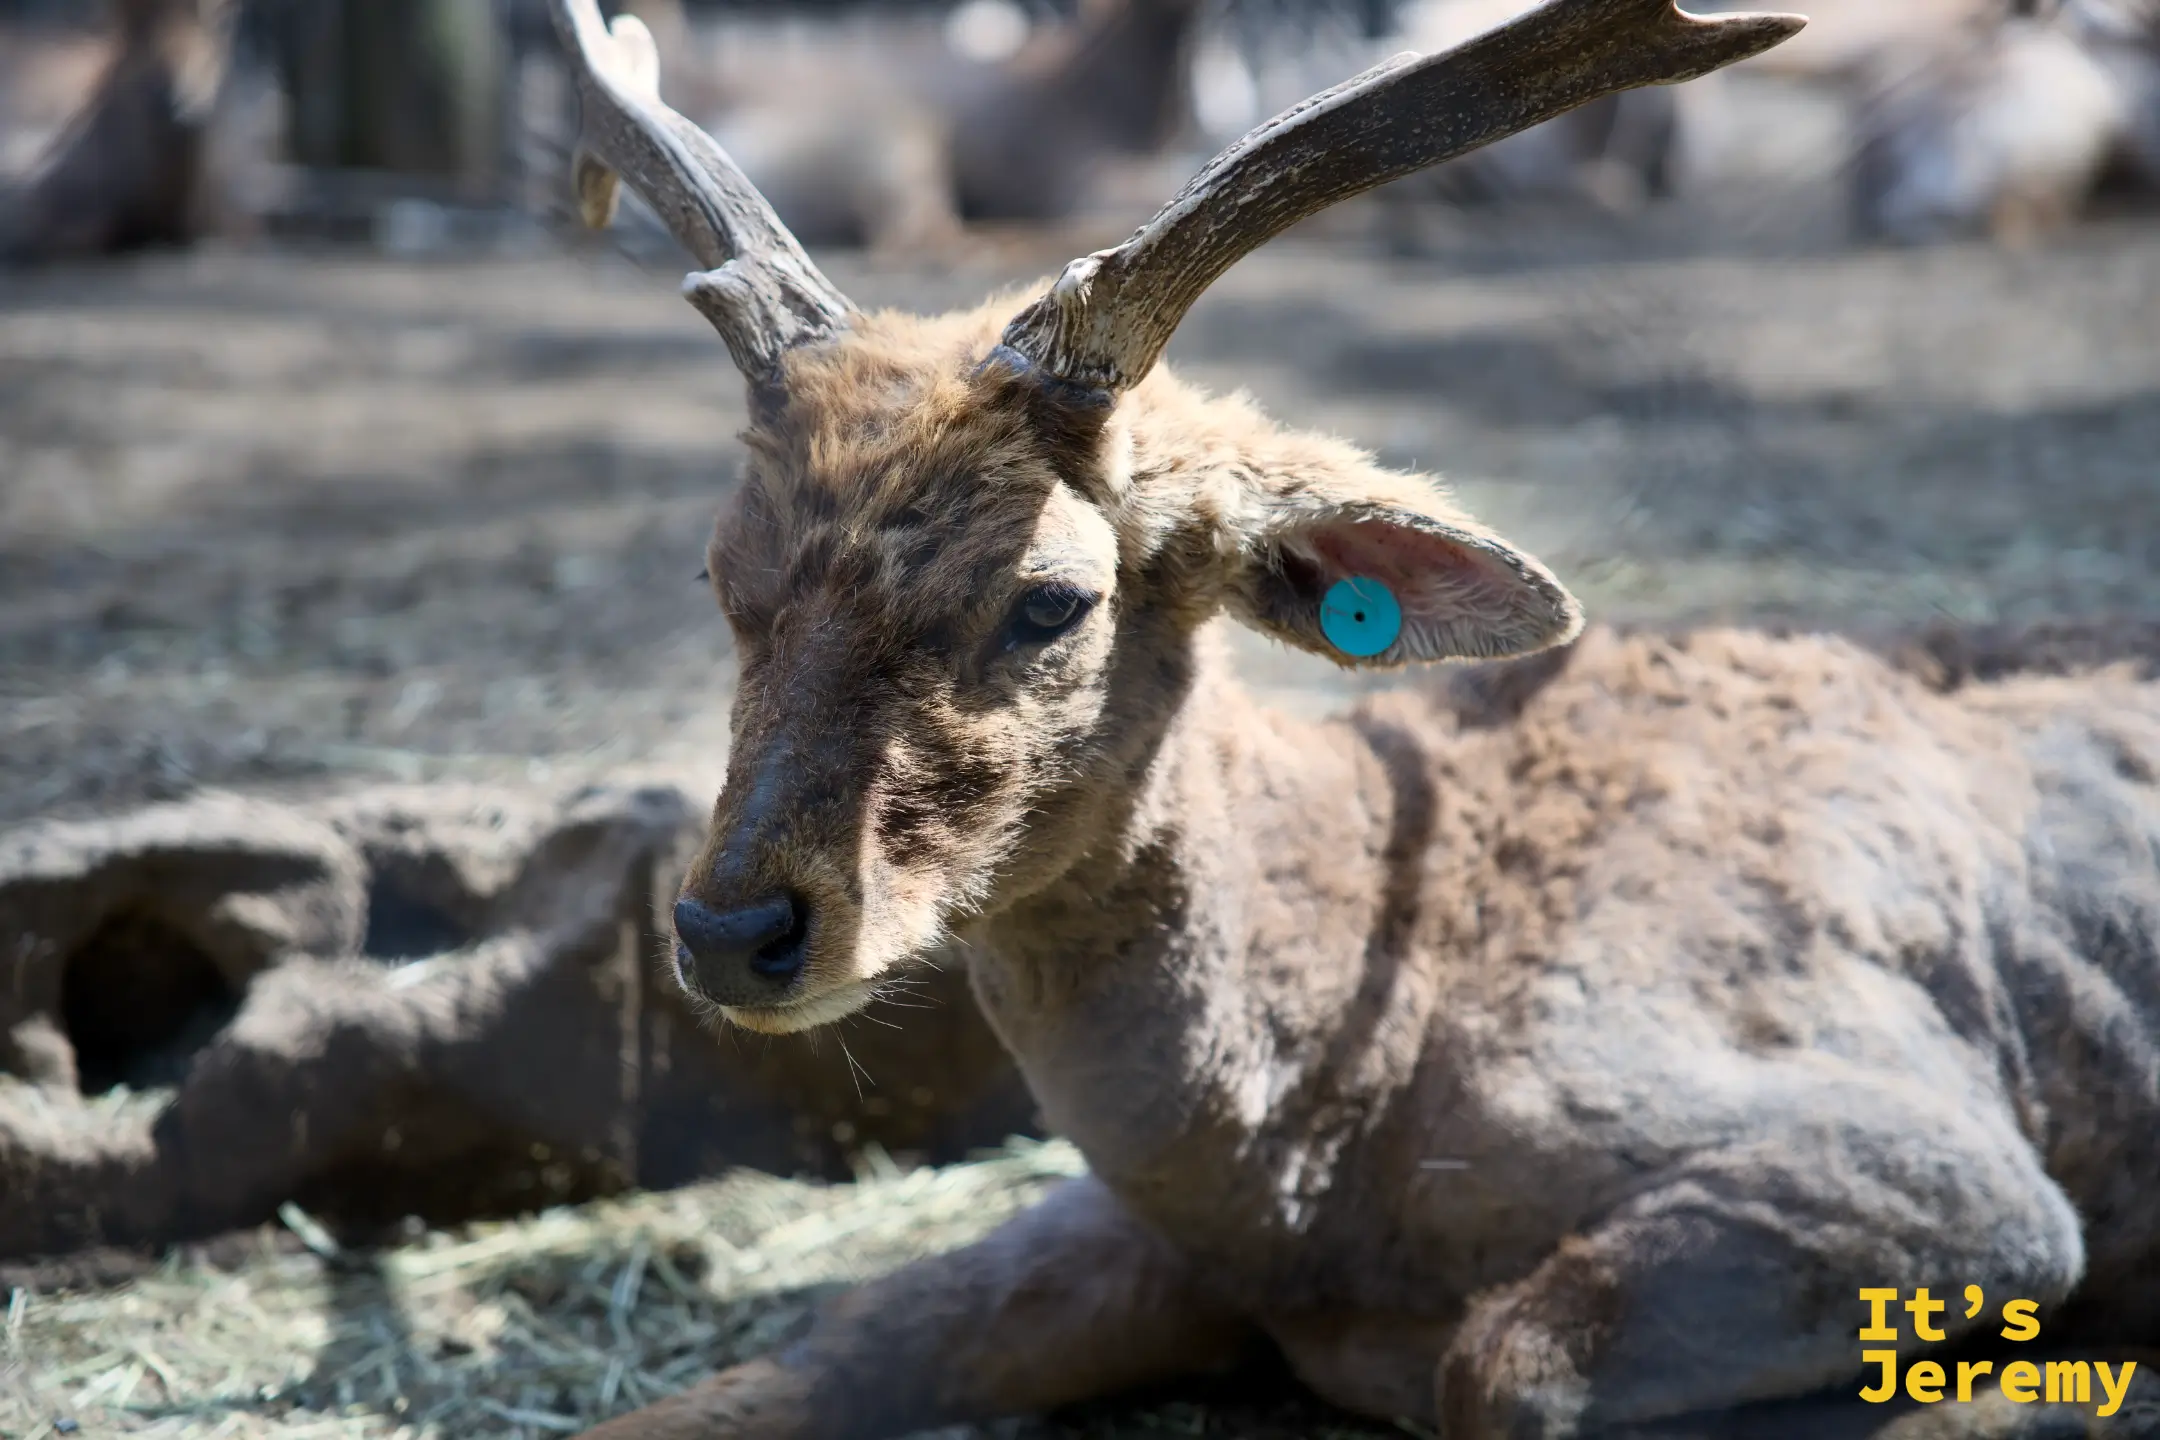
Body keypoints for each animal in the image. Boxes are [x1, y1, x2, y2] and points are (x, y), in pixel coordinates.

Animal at [542, 0, 2160, 1435]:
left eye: (1051, 598)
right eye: (722, 572)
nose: (734, 929)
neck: (1316, 1168)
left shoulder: (1928, 1152)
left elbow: (1496, 1370)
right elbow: (845, 1337)